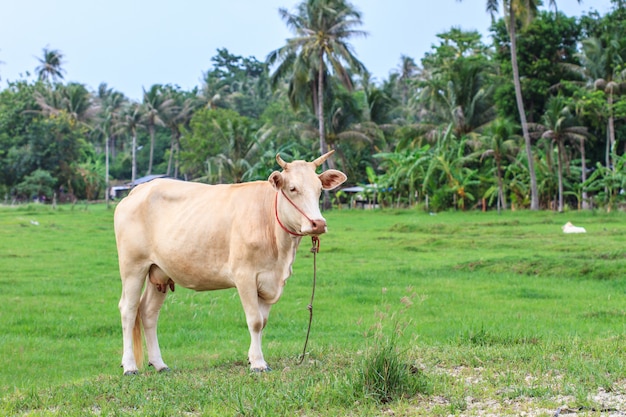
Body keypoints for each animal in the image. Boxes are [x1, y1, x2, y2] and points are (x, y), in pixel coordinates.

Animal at [112, 150, 346, 374]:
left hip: (160, 271)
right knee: (128, 310)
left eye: (319, 189)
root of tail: (138, 190)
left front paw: (255, 358)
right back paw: (130, 366)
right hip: (133, 267)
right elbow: (255, 321)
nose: (318, 224)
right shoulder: (244, 275)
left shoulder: (271, 280)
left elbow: (263, 322)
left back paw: (160, 364)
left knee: (148, 313)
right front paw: (258, 364)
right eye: (292, 188)